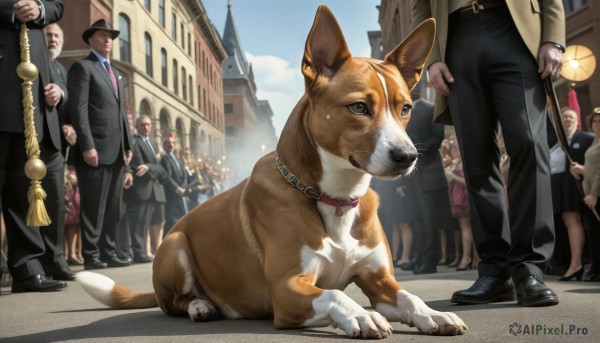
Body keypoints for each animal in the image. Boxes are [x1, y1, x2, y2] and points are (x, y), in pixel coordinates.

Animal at [76, 4, 468, 338]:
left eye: (405, 108)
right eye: (358, 107)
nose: (407, 156)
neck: (335, 198)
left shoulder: (379, 279)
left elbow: (409, 297)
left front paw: (432, 313)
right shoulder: (287, 288)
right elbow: (335, 295)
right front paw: (361, 315)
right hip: (174, 245)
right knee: (174, 302)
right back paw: (201, 305)